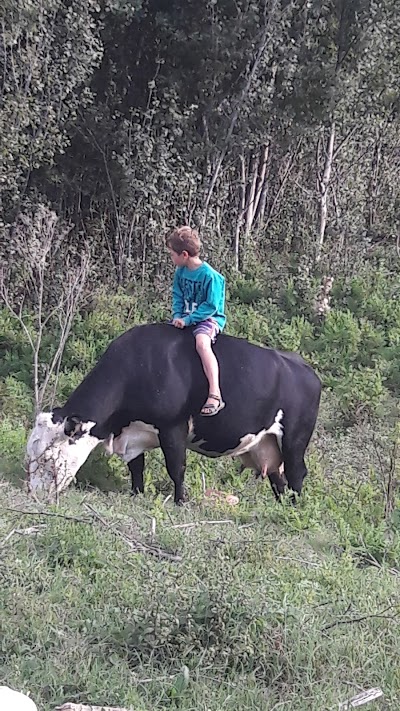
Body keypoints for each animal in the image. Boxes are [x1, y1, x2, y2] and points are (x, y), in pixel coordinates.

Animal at [25, 322, 322, 500]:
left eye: (48, 458)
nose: (32, 493)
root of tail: (305, 368)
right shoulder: (134, 432)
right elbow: (136, 467)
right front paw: (136, 494)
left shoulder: (172, 427)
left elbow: (176, 468)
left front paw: (180, 501)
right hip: (267, 444)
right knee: (278, 478)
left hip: (294, 439)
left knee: (296, 473)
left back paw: (294, 511)